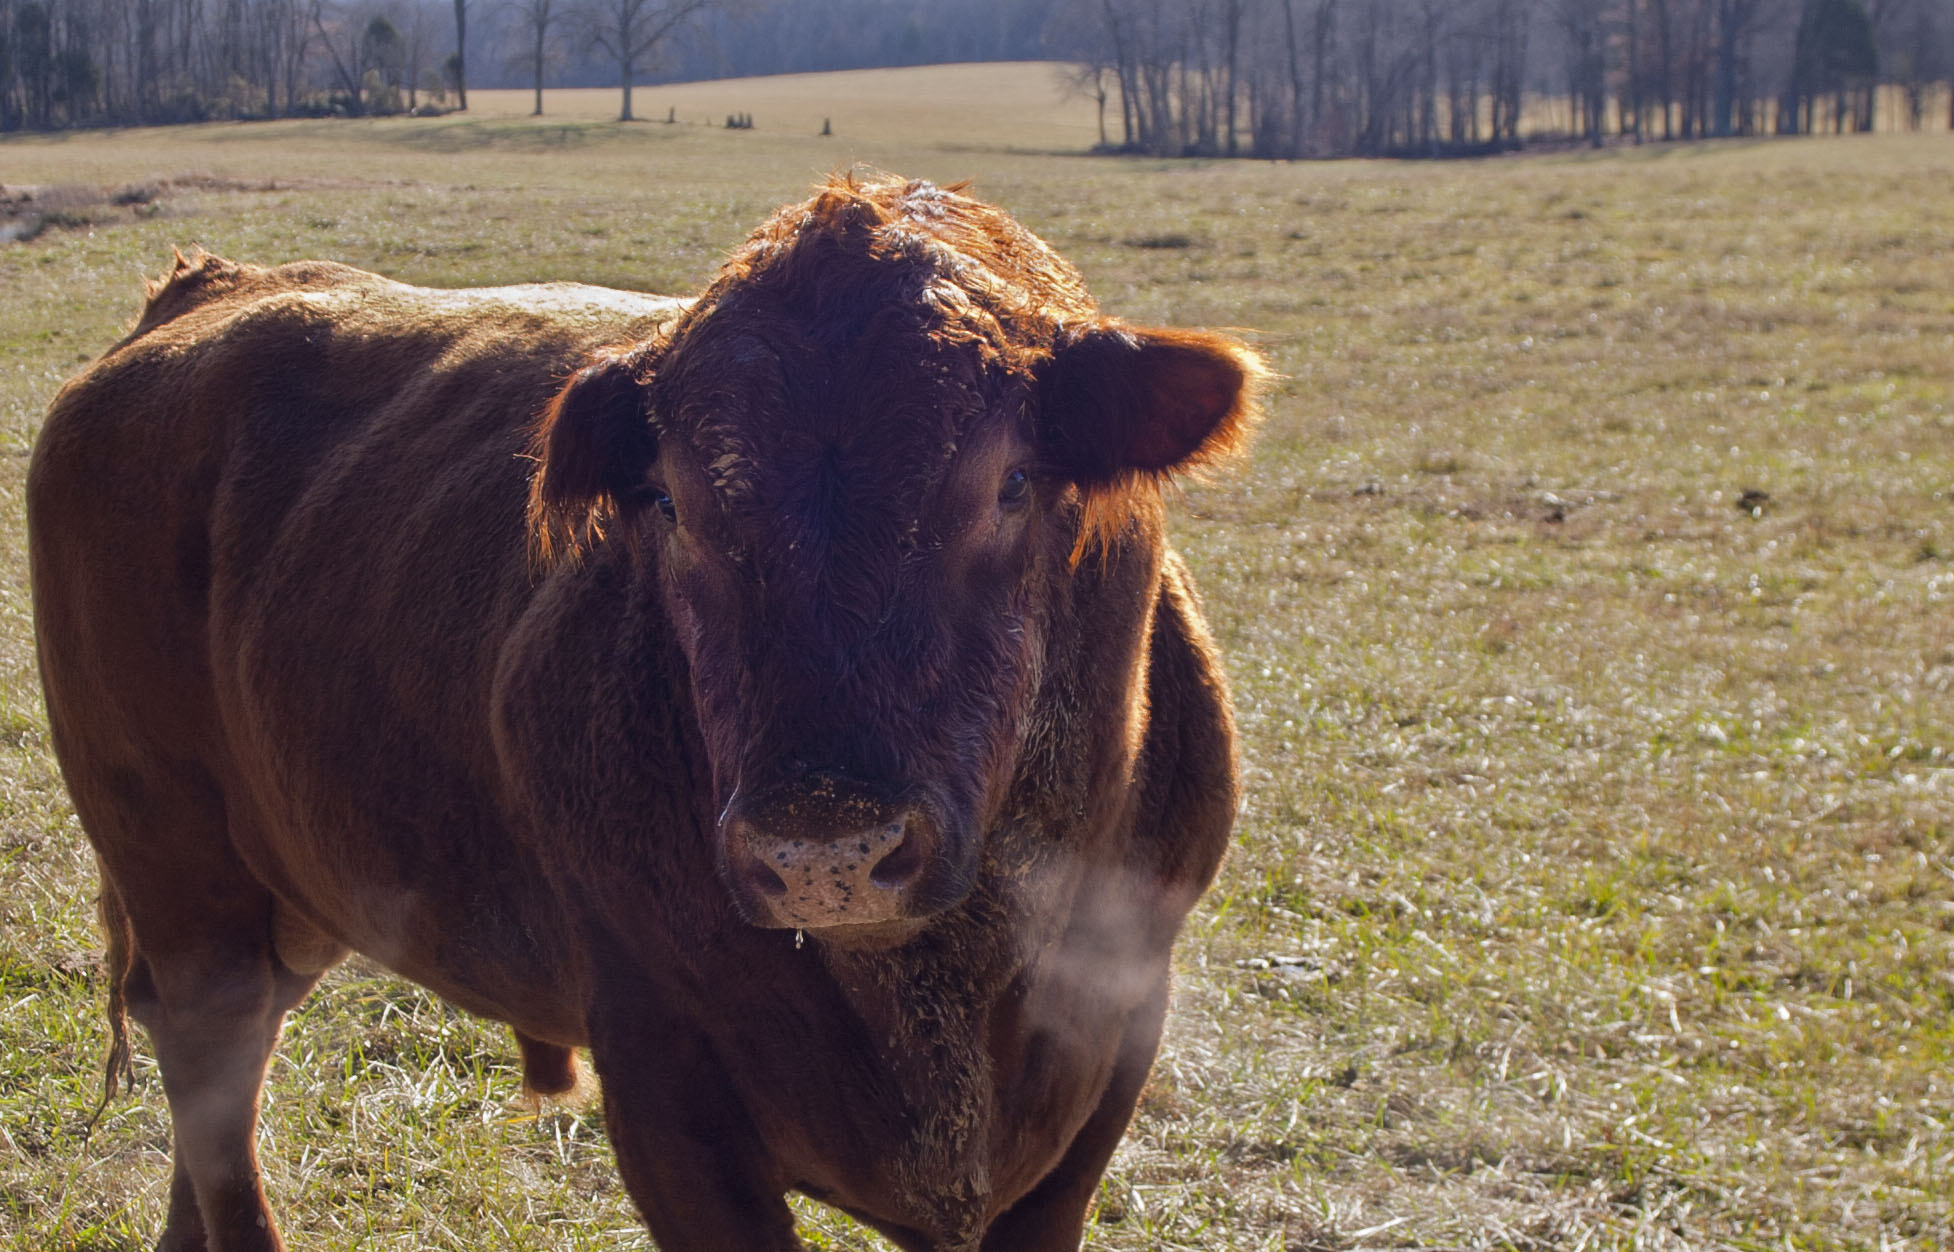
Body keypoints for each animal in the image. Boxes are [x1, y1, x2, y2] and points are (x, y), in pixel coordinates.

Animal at [30, 175, 1258, 1250]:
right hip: (177, 868)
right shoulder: (665, 1085)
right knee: (216, 1058)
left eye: (1009, 482)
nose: (824, 851)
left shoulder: (1109, 1053)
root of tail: (205, 295)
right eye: (672, 502)